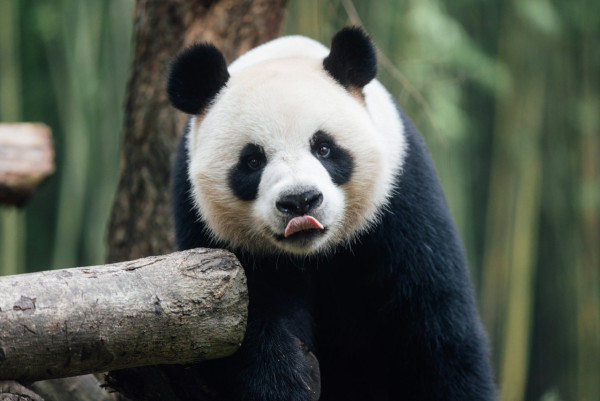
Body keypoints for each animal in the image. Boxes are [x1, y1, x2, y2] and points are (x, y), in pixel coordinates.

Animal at [166, 26, 494, 398]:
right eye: (252, 161)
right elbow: (250, 321)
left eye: (323, 148)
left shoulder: (403, 203)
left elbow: (434, 327)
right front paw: (286, 383)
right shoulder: (209, 230)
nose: (300, 201)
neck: (314, 254)